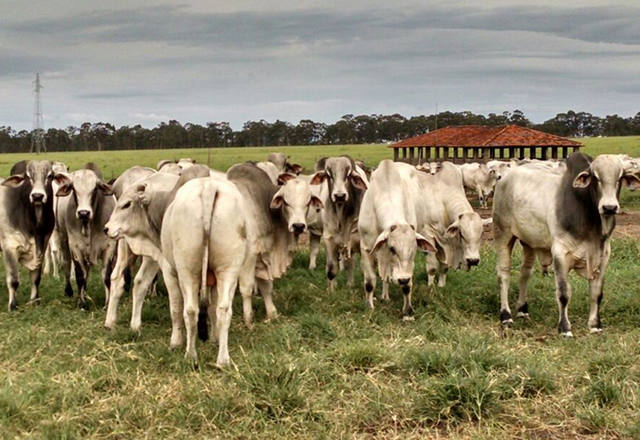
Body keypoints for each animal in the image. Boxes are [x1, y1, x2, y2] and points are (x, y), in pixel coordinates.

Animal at [0, 161, 69, 310]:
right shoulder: (9, 247)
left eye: (50, 176)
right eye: (27, 177)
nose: (37, 196)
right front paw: (13, 305)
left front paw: (34, 300)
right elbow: (13, 280)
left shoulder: (42, 246)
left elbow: (36, 278)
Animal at [492, 153, 636, 336]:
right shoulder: (560, 253)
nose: (609, 207)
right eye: (596, 177)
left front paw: (595, 325)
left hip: (529, 243)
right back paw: (505, 315)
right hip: (503, 235)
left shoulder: (604, 255)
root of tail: (504, 177)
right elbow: (563, 293)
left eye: (620, 177)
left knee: (525, 272)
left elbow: (596, 293)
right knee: (504, 274)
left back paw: (523, 310)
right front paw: (565, 328)